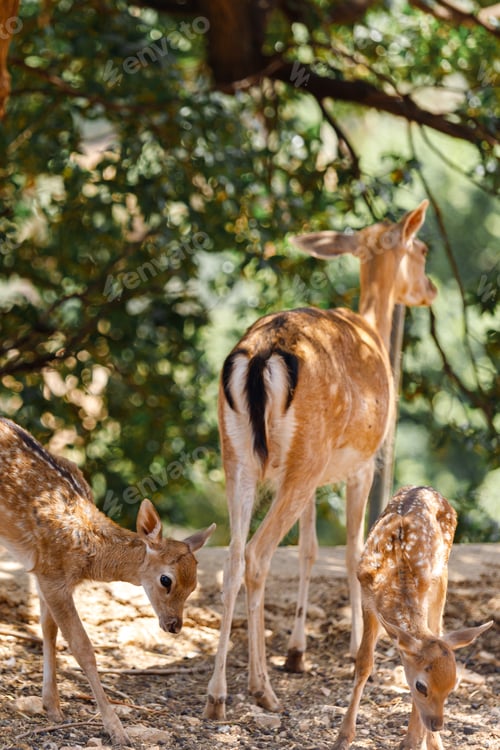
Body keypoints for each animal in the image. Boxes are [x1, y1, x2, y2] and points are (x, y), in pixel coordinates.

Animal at [0, 416, 215, 745]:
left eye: (193, 587)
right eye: (166, 580)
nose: (174, 626)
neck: (88, 554)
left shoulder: (41, 571)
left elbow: (48, 631)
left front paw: (53, 708)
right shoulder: (52, 575)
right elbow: (82, 648)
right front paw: (117, 731)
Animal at [204, 200, 437, 720]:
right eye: (423, 250)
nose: (430, 290)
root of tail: (259, 358)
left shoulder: (311, 478)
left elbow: (311, 549)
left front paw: (297, 651)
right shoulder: (363, 463)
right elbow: (352, 551)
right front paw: (353, 648)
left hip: (240, 457)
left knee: (231, 557)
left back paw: (218, 695)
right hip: (303, 457)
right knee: (257, 554)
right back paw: (260, 690)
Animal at [333, 485, 493, 750]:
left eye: (452, 686)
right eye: (421, 686)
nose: (437, 724)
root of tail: (425, 487)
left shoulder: (425, 589)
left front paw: (414, 740)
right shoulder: (366, 597)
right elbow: (364, 662)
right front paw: (343, 737)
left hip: (443, 575)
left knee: (438, 628)